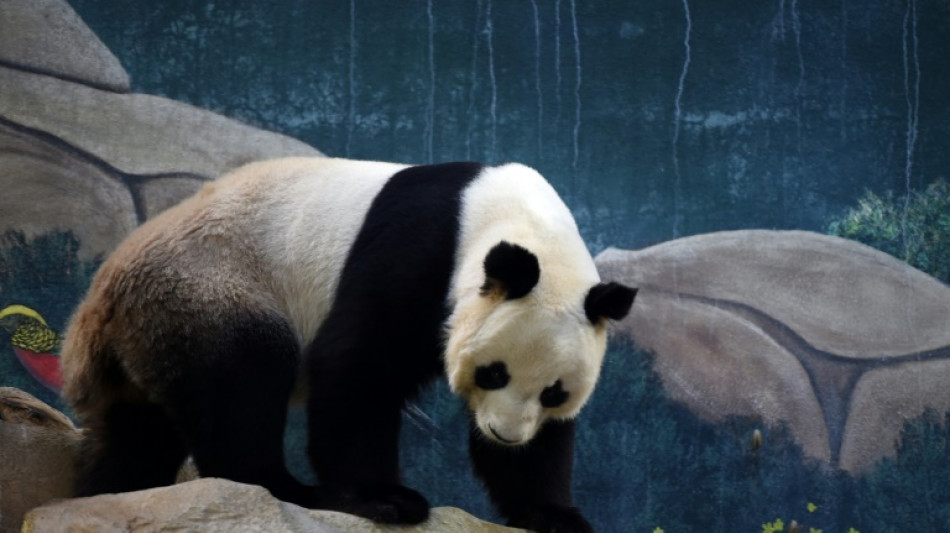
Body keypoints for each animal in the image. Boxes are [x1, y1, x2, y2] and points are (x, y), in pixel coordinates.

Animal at [61, 156, 640, 528]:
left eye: (553, 392)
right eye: (494, 372)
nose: (504, 434)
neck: (518, 221)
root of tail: (98, 306)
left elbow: (548, 444)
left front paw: (555, 515)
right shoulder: (420, 251)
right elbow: (358, 366)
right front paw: (386, 500)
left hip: (155, 331)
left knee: (137, 435)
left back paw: (109, 491)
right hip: (207, 287)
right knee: (244, 379)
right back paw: (285, 488)